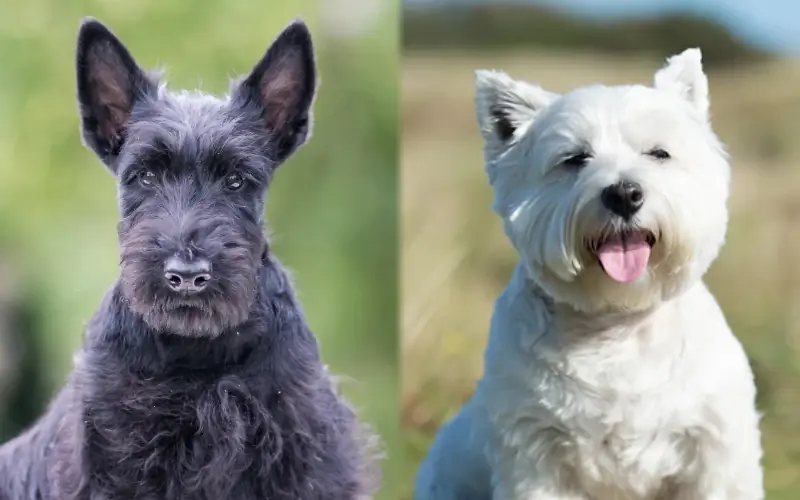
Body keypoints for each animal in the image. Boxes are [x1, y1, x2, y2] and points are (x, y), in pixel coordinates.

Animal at [416, 47, 764, 500]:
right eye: (574, 159)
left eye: (659, 153)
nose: (624, 194)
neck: (616, 325)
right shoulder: (534, 456)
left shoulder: (713, 451)